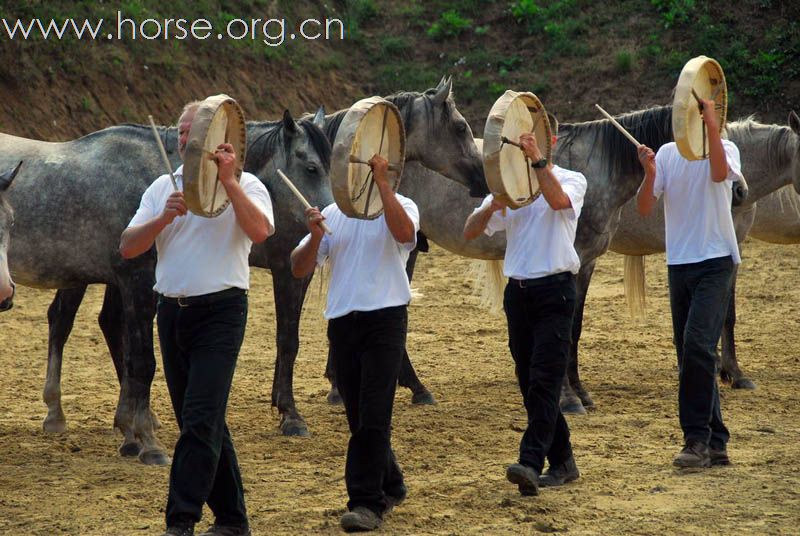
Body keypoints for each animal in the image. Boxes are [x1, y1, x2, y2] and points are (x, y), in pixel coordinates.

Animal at [0, 111, 332, 462]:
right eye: (311, 167)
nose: (326, 220)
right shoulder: (138, 280)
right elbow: (143, 361)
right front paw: (146, 441)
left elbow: (133, 357)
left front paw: (130, 431)